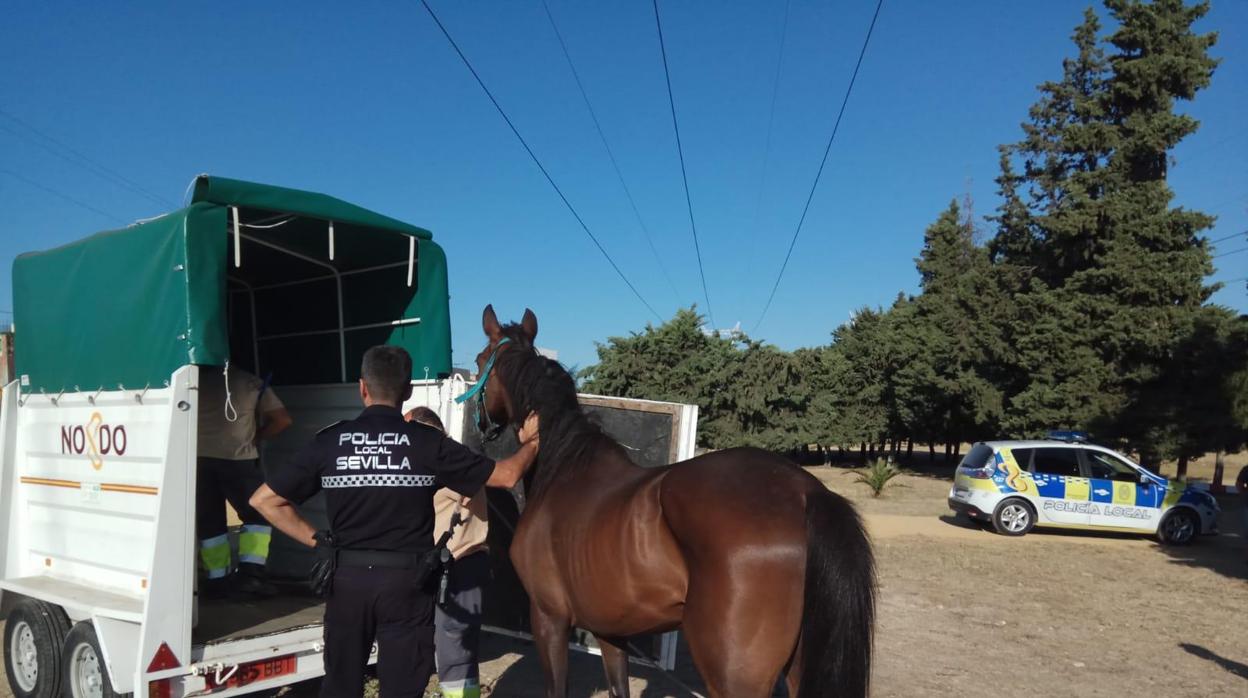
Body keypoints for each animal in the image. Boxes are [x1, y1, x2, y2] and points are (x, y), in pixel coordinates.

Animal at [469, 305, 878, 698]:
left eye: (478, 359)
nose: (479, 422)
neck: (565, 467)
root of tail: (804, 492)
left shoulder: (549, 618)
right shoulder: (611, 630)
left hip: (734, 678)